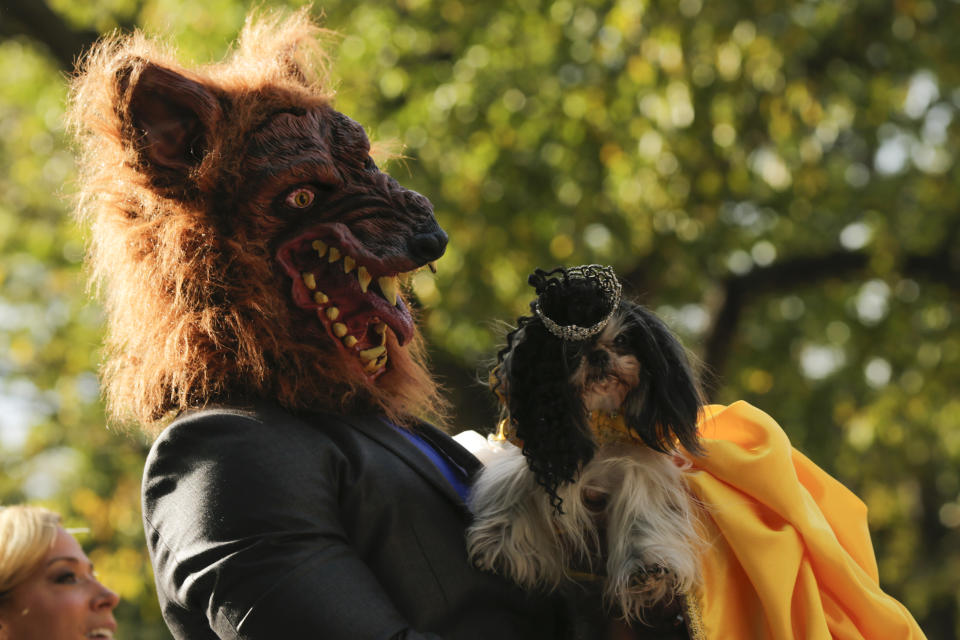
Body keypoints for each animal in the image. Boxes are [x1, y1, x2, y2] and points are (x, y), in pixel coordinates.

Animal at [466, 264, 704, 624]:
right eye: (572, 351)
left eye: (621, 340)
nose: (599, 355)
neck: (597, 420)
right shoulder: (529, 461)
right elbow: (512, 494)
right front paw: (498, 544)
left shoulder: (640, 470)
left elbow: (643, 518)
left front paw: (648, 572)